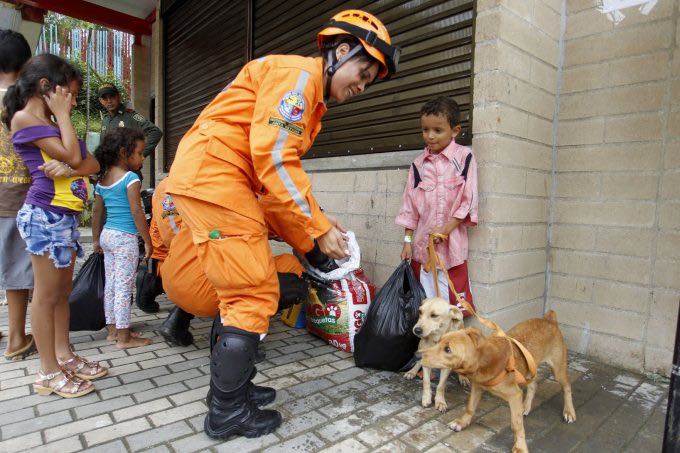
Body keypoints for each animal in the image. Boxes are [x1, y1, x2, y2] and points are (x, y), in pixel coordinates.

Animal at [422, 310, 576, 452]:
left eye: (447, 349)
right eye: (439, 341)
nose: (419, 354)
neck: (486, 362)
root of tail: (549, 320)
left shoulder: (514, 395)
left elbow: (516, 425)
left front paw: (520, 446)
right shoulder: (477, 387)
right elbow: (470, 407)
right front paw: (462, 422)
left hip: (558, 369)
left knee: (567, 387)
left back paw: (569, 411)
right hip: (530, 367)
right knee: (533, 384)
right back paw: (526, 406)